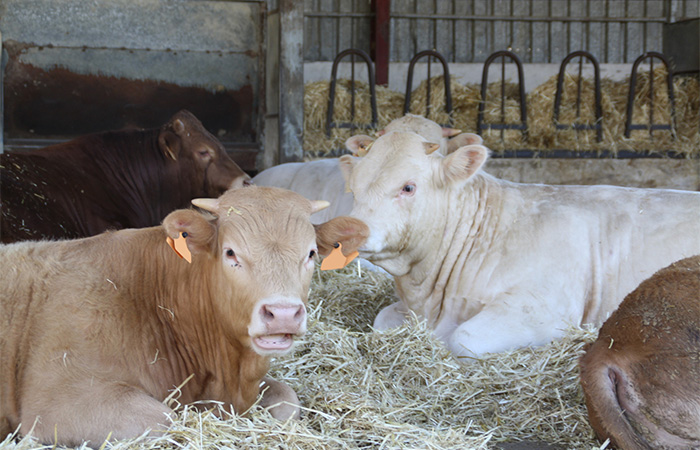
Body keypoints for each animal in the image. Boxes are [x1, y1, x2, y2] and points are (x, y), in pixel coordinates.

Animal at [0, 185, 370, 446]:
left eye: (311, 253)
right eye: (230, 253)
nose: (283, 313)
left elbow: (286, 400)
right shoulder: (58, 402)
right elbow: (166, 419)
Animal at [336, 130, 700, 358]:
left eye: (408, 187)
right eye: (354, 187)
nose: (348, 232)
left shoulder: (545, 309)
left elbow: (464, 339)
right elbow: (382, 320)